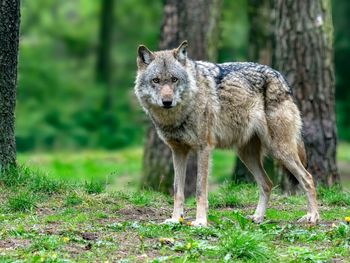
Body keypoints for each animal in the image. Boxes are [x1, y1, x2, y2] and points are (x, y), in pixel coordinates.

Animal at [134, 40, 320, 227]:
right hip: (246, 154)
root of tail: (282, 78)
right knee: (267, 184)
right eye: (156, 80)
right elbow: (177, 191)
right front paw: (174, 219)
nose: (167, 102)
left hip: (279, 150)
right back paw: (257, 217)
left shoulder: (204, 149)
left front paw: (200, 221)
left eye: (174, 79)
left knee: (308, 178)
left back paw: (312, 216)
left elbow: (200, 191)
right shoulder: (178, 151)